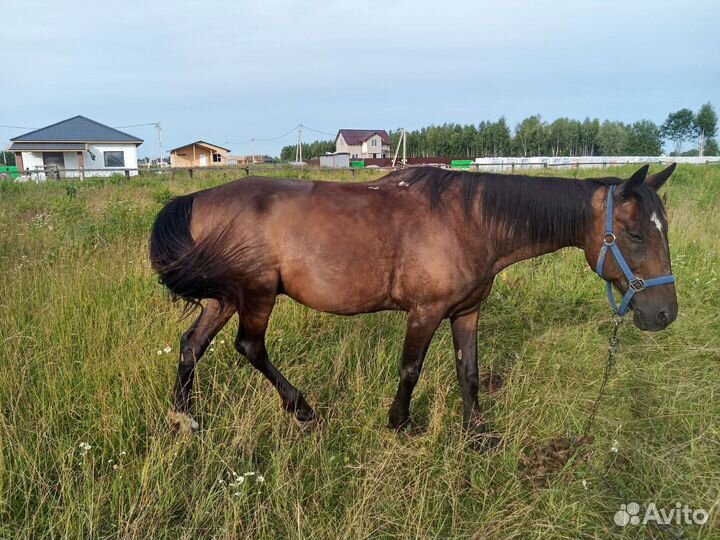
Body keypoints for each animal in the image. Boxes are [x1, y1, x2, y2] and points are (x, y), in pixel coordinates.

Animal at [150, 163, 678, 448]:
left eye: (664, 229)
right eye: (634, 235)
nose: (664, 314)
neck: (471, 220)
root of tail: (196, 198)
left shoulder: (467, 311)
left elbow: (469, 371)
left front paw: (477, 435)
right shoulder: (426, 311)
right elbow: (411, 369)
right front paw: (400, 423)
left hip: (225, 299)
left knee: (191, 345)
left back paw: (184, 419)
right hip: (255, 294)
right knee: (249, 346)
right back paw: (302, 409)